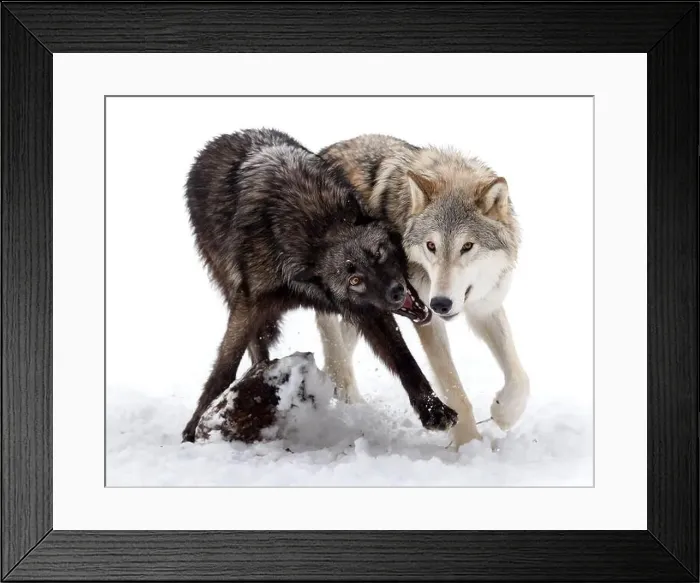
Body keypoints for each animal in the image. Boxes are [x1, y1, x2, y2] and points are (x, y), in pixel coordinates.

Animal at [181, 129, 456, 442]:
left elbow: (404, 359)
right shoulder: (250, 303)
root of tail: (220, 139)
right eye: (355, 280)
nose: (396, 292)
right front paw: (195, 425)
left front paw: (434, 411)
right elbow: (224, 366)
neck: (322, 231)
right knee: (257, 346)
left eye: (378, 254)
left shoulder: (369, 312)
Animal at [316, 134, 529, 447]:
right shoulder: (426, 317)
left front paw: (503, 413)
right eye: (431, 246)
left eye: (467, 246)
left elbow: (520, 377)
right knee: (330, 337)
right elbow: (454, 389)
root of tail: (326, 150)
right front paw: (469, 444)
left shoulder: (484, 307)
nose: (440, 303)